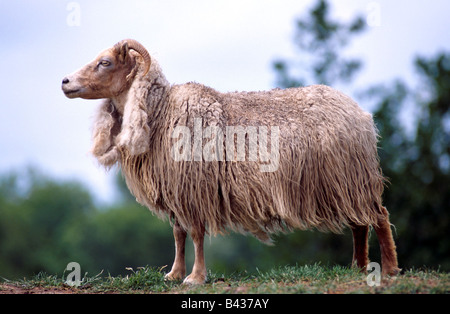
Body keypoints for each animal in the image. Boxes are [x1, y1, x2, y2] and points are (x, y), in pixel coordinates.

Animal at [60, 38, 400, 284]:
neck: (161, 114)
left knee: (379, 217)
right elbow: (178, 234)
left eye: (105, 63)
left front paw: (195, 278)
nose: (64, 82)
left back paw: (390, 269)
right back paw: (357, 267)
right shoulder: (176, 189)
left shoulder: (194, 188)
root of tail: (360, 112)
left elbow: (196, 234)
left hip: (354, 176)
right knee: (360, 224)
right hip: (344, 183)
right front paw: (173, 274)